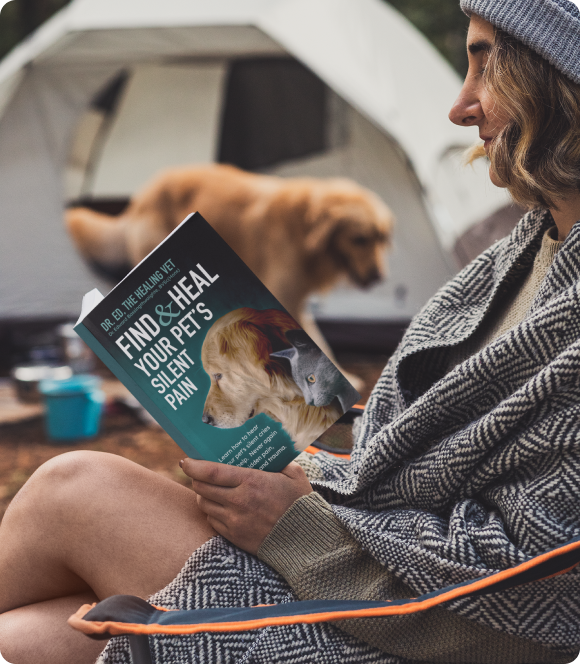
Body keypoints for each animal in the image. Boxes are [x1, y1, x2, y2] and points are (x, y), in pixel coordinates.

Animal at [67, 163, 394, 386]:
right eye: (359, 239)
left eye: (382, 238)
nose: (380, 277)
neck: (303, 226)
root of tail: (141, 197)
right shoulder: (286, 296)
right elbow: (316, 339)